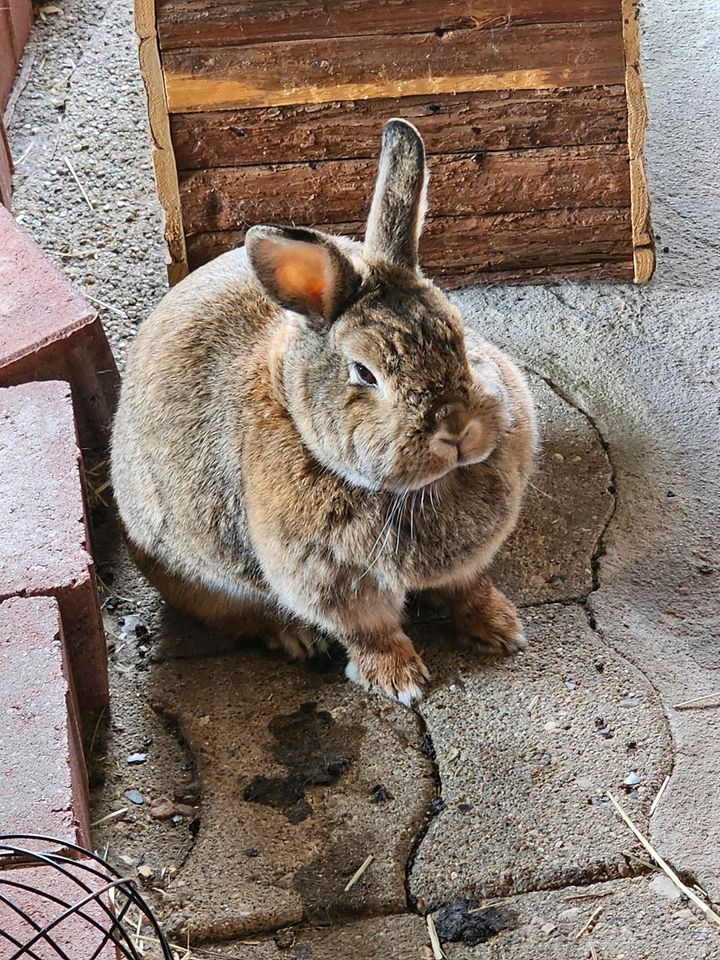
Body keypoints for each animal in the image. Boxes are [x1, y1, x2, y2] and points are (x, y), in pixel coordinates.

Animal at [111, 118, 536, 704]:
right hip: (199, 581)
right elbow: (370, 631)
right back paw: (296, 638)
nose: (457, 428)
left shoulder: (467, 564)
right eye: (364, 373)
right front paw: (401, 681)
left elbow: (469, 589)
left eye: (456, 332)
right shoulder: (331, 583)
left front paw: (500, 630)